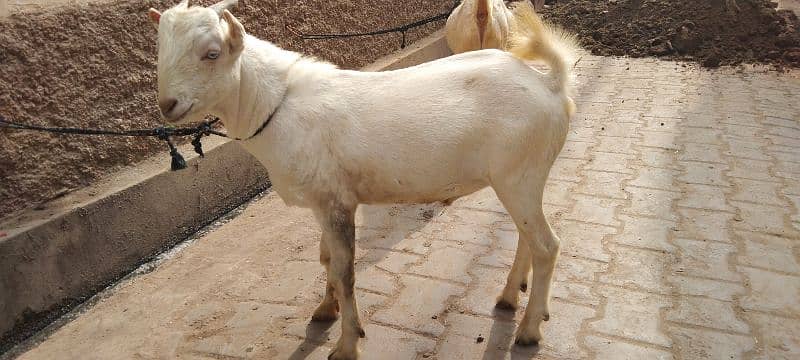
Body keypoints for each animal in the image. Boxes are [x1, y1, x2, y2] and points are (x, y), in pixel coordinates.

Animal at [148, 1, 576, 358]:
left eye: (212, 53)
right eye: (159, 51)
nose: (168, 105)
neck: (275, 104)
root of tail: (550, 84)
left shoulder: (336, 201)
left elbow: (345, 270)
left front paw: (347, 343)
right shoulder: (324, 200)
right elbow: (326, 258)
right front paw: (326, 308)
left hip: (519, 175)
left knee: (547, 245)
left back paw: (528, 330)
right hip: (520, 177)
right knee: (527, 236)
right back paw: (509, 297)